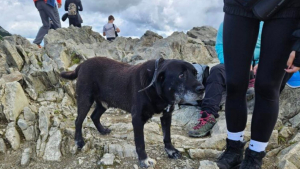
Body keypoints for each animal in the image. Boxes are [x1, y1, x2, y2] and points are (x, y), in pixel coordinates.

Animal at [61, 57, 205, 168]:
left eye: (195, 73)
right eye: (181, 75)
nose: (202, 89)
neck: (154, 87)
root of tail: (81, 65)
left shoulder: (166, 116)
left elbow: (167, 137)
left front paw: (171, 151)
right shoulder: (137, 119)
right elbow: (140, 143)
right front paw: (144, 160)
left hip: (104, 103)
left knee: (94, 116)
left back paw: (102, 130)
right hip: (85, 100)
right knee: (78, 120)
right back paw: (79, 141)